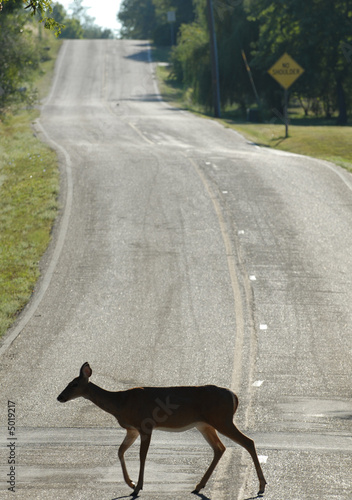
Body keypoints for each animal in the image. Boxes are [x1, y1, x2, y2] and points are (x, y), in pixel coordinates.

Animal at [57, 364, 266, 496]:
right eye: (68, 382)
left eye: (74, 384)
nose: (60, 397)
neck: (121, 403)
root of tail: (234, 396)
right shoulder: (132, 430)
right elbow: (120, 451)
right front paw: (131, 483)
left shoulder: (146, 425)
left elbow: (142, 455)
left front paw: (137, 487)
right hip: (204, 424)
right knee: (220, 448)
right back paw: (199, 485)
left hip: (222, 419)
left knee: (248, 441)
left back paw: (262, 486)